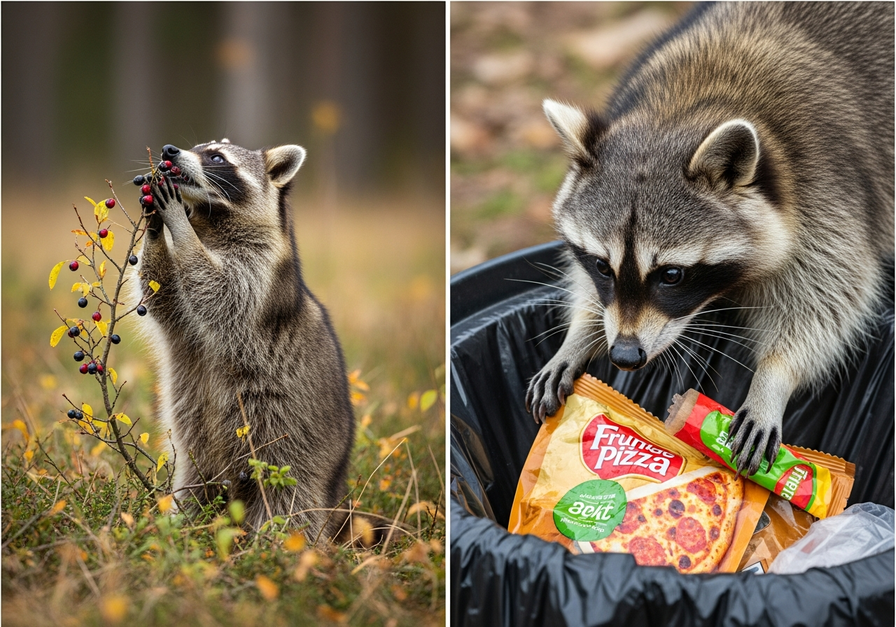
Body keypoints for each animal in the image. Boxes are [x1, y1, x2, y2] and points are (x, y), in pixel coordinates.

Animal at [130, 139, 355, 537]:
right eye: (198, 147)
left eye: (217, 158)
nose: (169, 150)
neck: (211, 222)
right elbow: (163, 297)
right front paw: (155, 228)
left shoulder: (258, 273)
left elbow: (219, 291)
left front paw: (177, 226)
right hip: (199, 460)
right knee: (193, 487)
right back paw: (181, 525)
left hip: (296, 457)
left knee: (289, 509)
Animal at [526, 2, 894, 476]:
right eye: (602, 266)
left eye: (671, 275)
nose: (624, 355)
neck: (687, 107)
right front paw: (581, 329)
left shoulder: (828, 193)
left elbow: (826, 300)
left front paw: (773, 378)